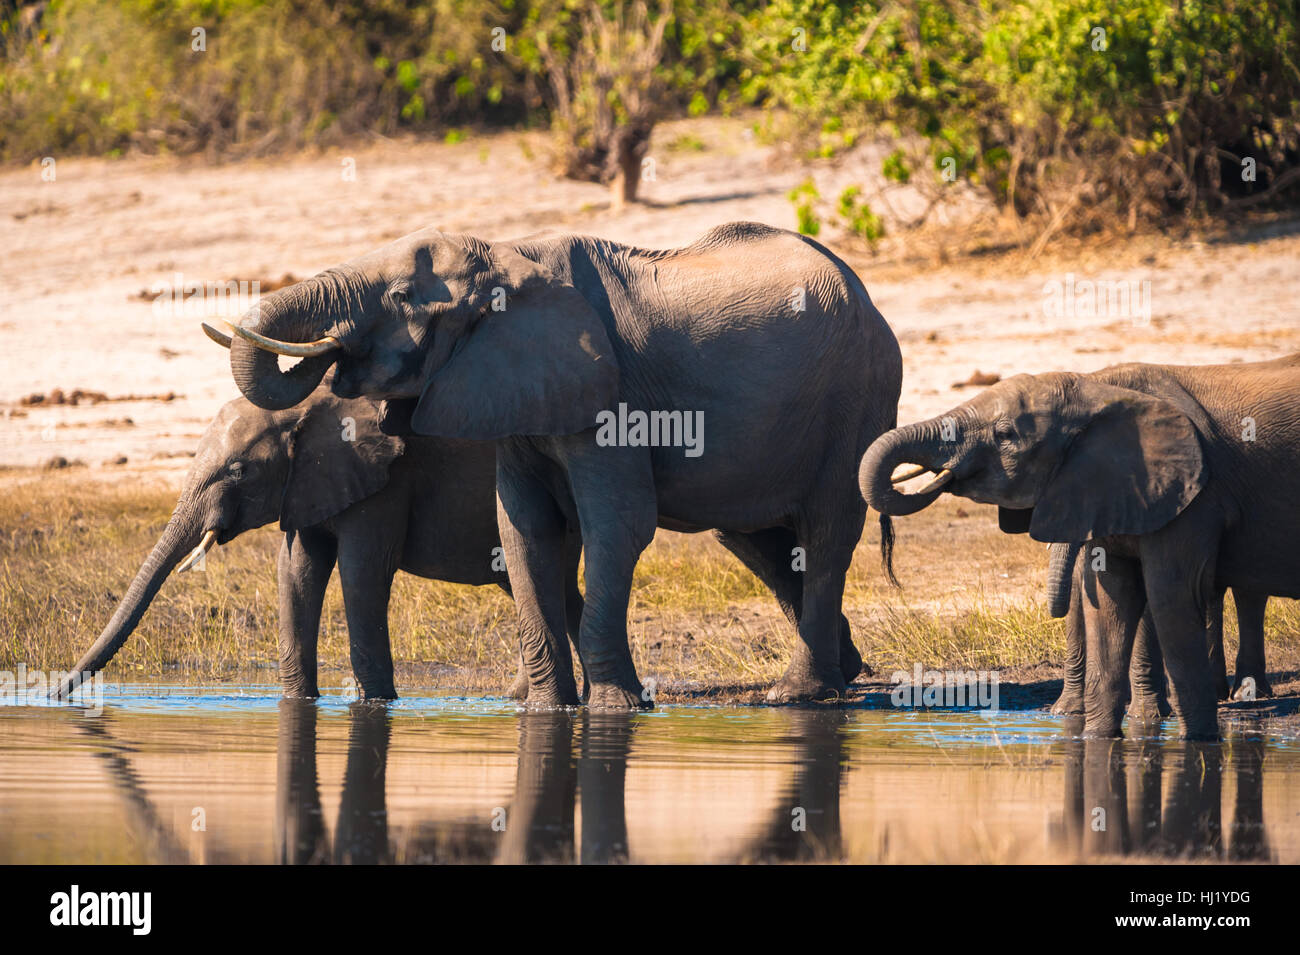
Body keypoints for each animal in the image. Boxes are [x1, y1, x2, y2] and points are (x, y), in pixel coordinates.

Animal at [50, 374, 579, 701]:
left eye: (239, 470)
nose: (48, 695)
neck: (303, 407)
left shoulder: (385, 479)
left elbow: (361, 573)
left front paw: (377, 703)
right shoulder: (308, 482)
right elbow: (296, 572)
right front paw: (300, 701)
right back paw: (519, 699)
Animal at [215, 218, 904, 712]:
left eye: (402, 296)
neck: (512, 254)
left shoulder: (611, 395)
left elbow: (617, 527)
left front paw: (616, 711)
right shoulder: (517, 399)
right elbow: (524, 532)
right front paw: (547, 712)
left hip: (856, 396)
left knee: (826, 531)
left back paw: (799, 694)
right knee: (758, 541)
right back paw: (847, 673)